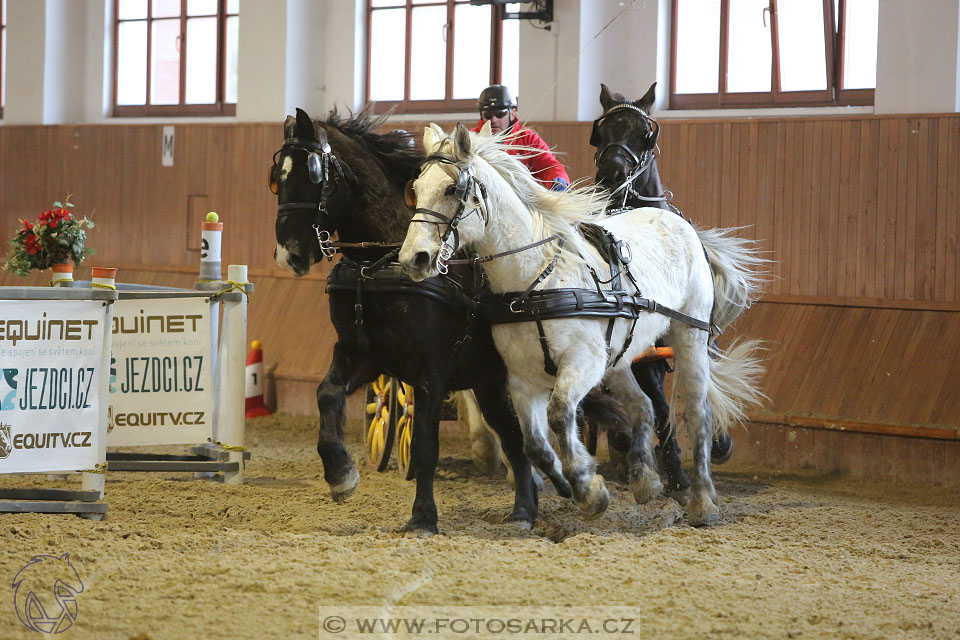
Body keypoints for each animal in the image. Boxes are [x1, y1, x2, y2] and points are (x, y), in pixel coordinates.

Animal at [272, 109, 568, 536]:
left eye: (313, 173)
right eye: (276, 178)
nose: (289, 255)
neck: (379, 261)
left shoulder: (431, 371)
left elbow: (427, 444)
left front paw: (423, 516)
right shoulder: (362, 354)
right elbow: (326, 394)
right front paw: (341, 474)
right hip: (489, 380)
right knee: (512, 435)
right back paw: (524, 508)